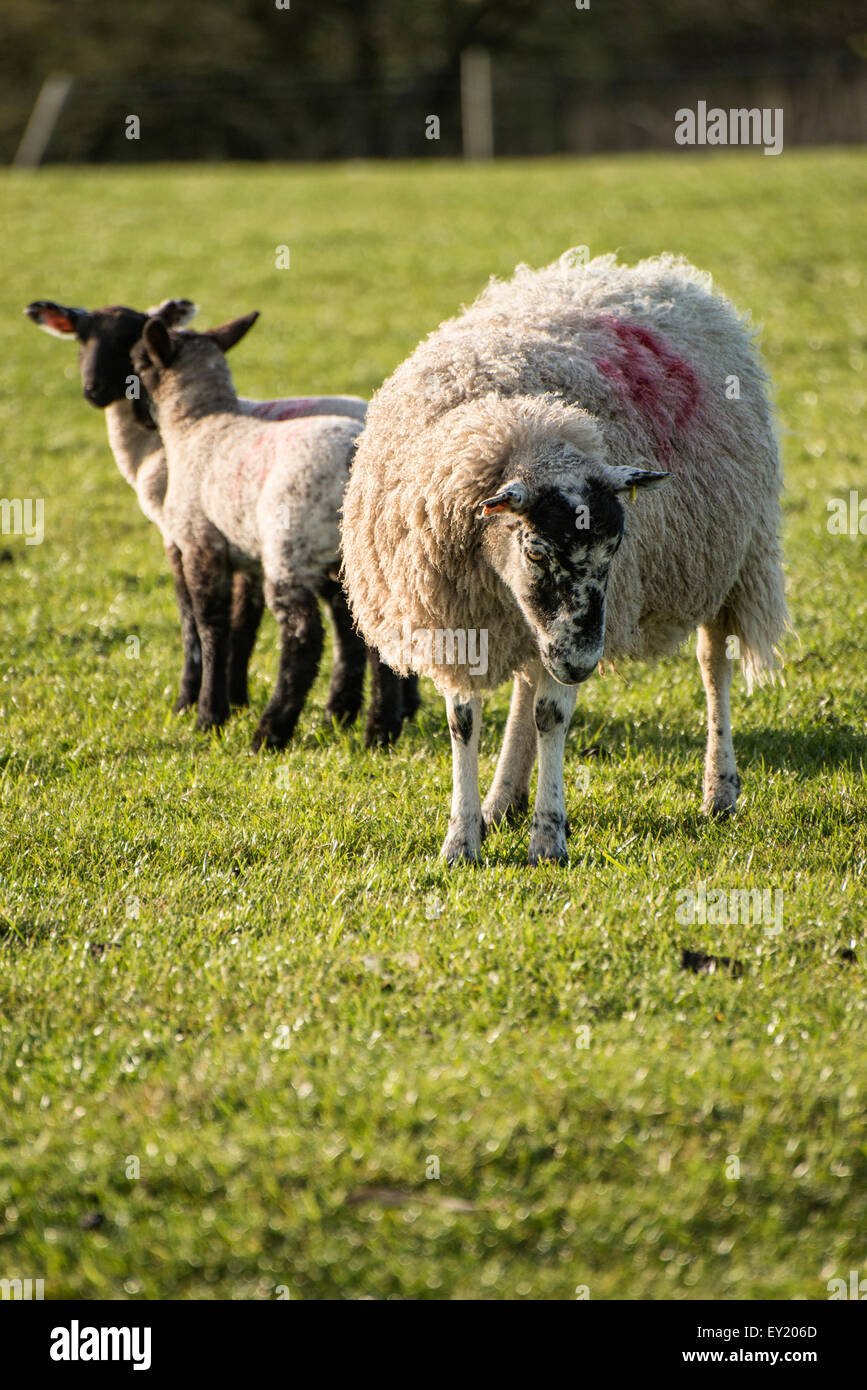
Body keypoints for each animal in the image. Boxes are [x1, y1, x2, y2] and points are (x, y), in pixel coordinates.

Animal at [131, 311, 417, 750]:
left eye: (140, 363)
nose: (137, 417)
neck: (198, 425)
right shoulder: (249, 559)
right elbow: (240, 626)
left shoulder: (201, 544)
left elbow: (211, 628)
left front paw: (208, 716)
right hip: (358, 556)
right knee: (372, 635)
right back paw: (377, 732)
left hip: (291, 548)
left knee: (303, 639)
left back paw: (270, 733)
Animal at [341, 250, 789, 865]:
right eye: (534, 549)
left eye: (615, 549)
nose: (581, 664)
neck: (524, 423)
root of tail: (653, 273)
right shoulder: (452, 616)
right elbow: (464, 723)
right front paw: (462, 839)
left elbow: (552, 716)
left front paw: (548, 838)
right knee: (530, 679)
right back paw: (501, 800)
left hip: (731, 560)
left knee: (712, 663)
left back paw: (719, 790)